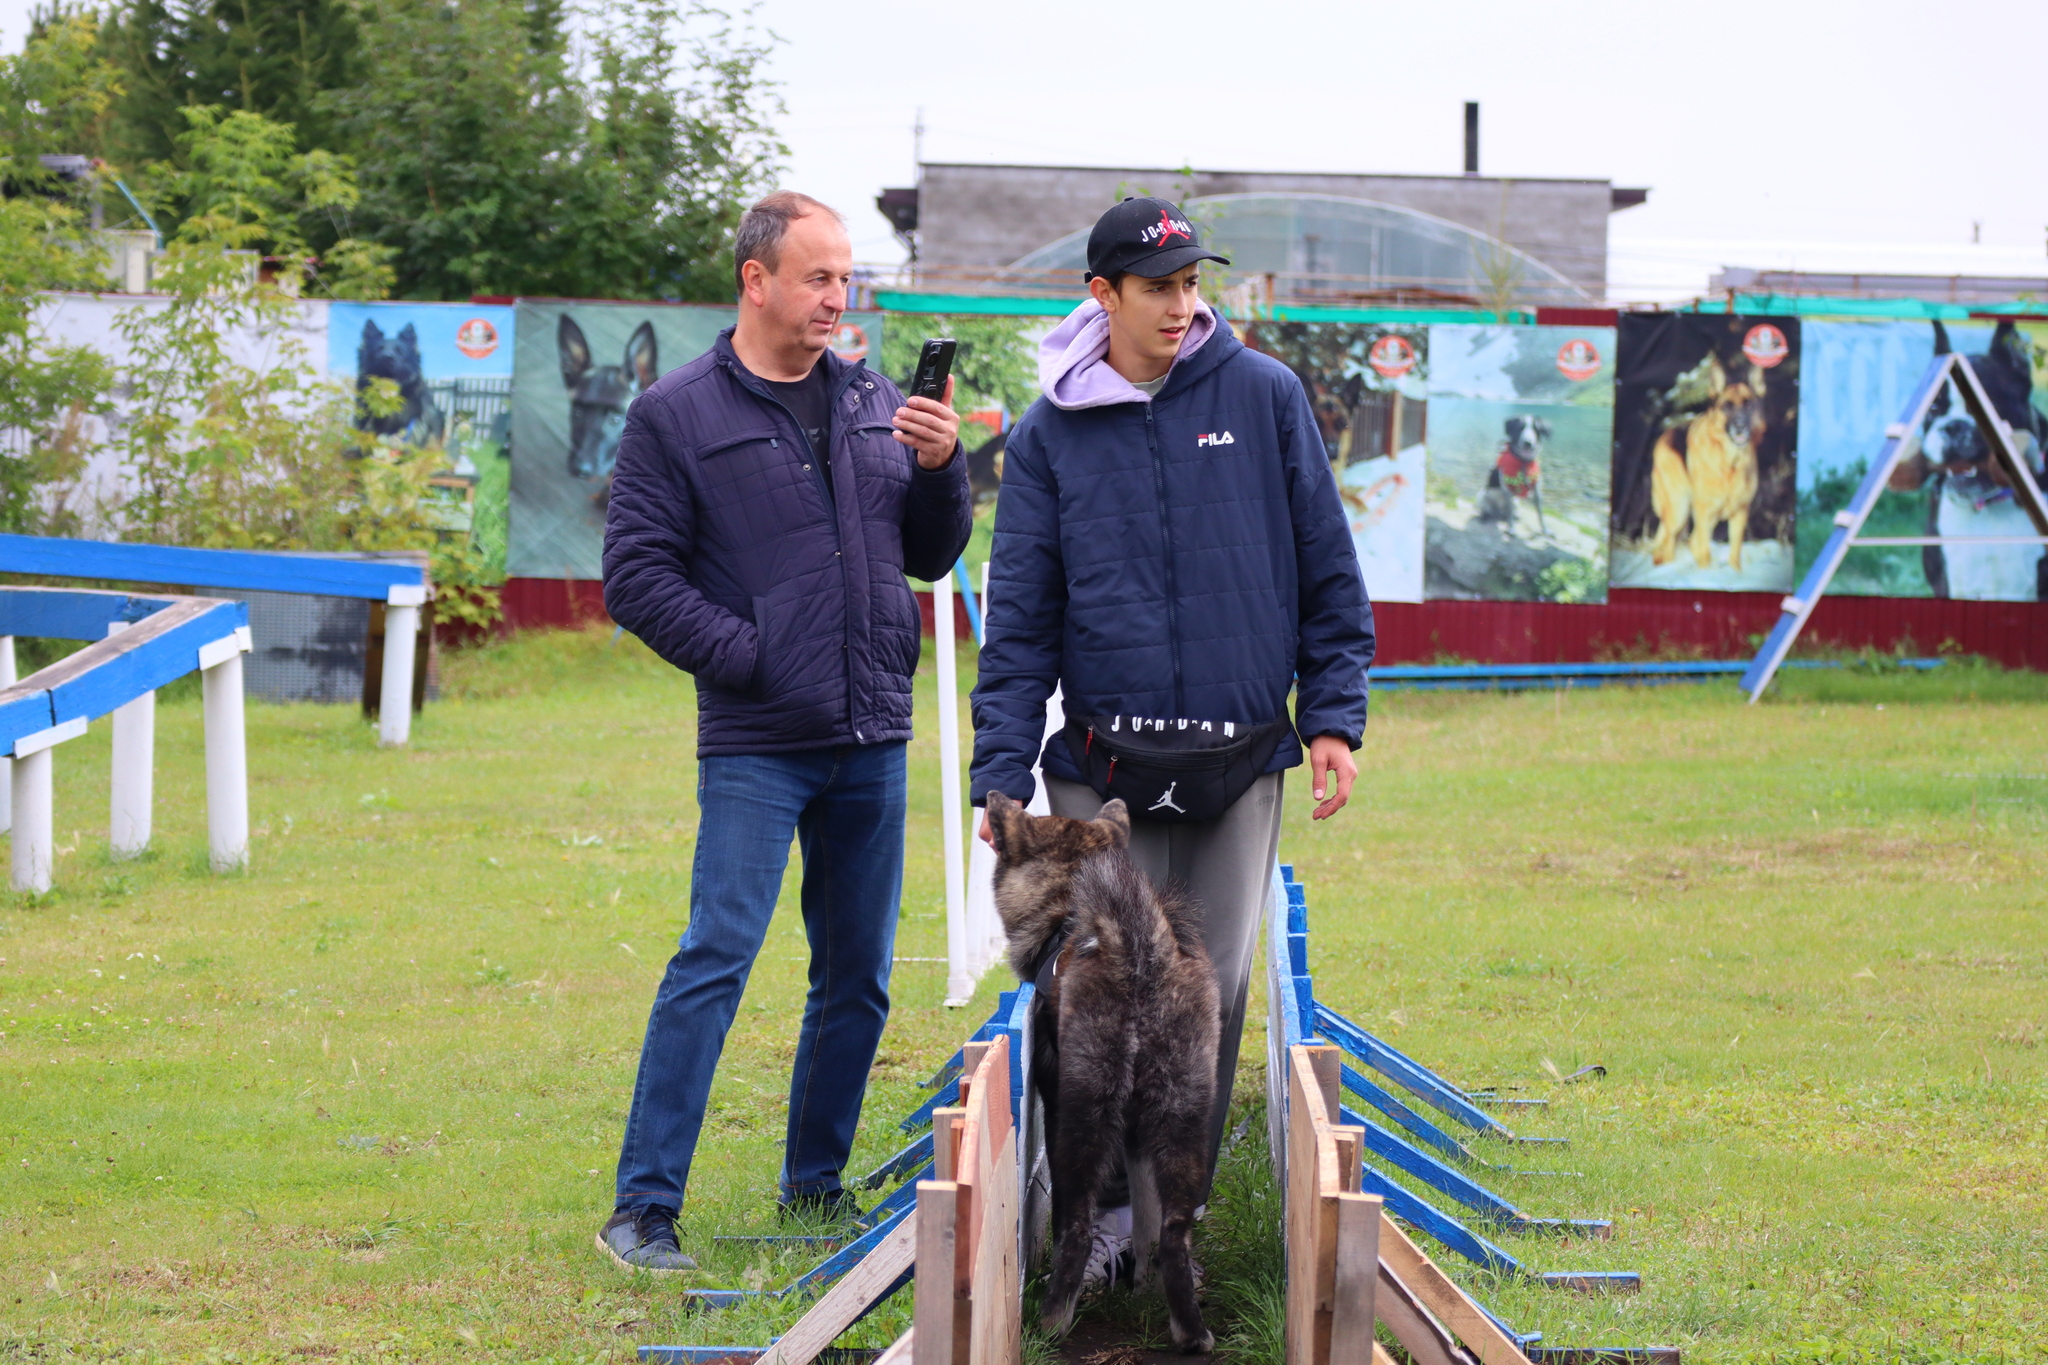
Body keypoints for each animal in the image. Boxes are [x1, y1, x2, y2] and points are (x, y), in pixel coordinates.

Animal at [978, 789, 1212, 1358]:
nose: (995, 797)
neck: (1065, 906)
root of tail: (1141, 956)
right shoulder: (1137, 1139)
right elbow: (1146, 1220)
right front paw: (1143, 1285)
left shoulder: (1058, 1100)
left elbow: (1068, 1217)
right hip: (1183, 1120)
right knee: (1174, 1229)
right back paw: (1189, 1330)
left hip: (1083, 1120)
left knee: (1080, 1225)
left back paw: (1052, 1318)